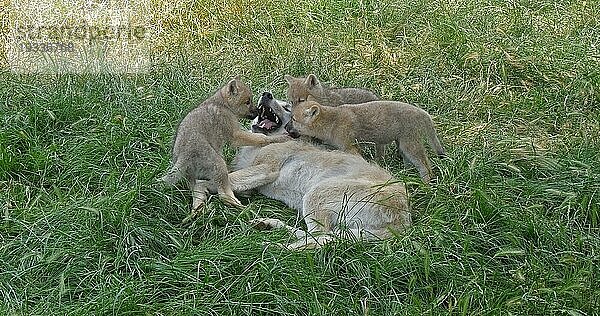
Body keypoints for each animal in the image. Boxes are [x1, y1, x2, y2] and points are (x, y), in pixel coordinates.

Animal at [223, 91, 414, 249]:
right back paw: (268, 225)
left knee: (318, 239)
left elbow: (226, 179)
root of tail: (403, 220)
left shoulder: (267, 169)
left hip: (315, 194)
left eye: (286, 107)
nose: (266, 94)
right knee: (317, 235)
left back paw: (273, 247)